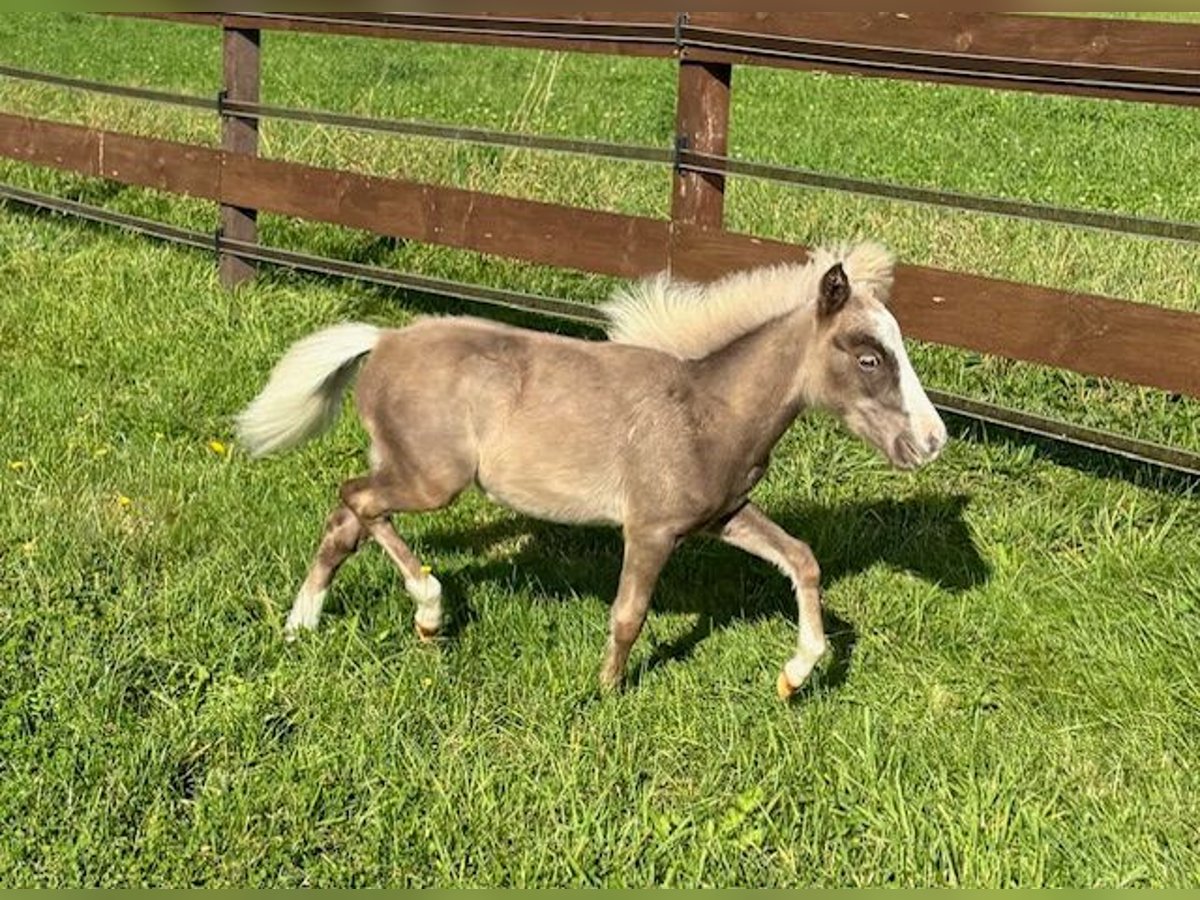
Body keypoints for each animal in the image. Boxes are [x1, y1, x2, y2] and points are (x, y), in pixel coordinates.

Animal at [236, 243, 945, 700]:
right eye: (870, 357)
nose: (931, 442)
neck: (706, 409)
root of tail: (382, 341)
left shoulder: (722, 517)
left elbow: (802, 559)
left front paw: (795, 676)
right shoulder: (652, 529)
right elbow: (629, 614)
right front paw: (604, 694)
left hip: (403, 468)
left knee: (346, 520)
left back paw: (304, 624)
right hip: (431, 480)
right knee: (356, 499)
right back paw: (429, 609)